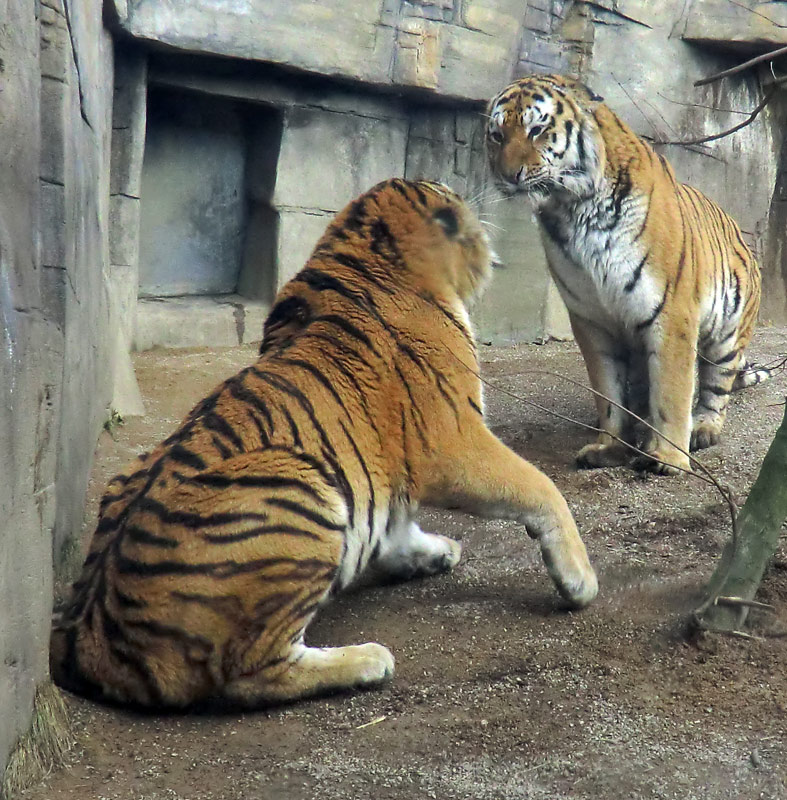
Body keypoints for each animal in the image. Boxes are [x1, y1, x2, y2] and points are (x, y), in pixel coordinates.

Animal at [49, 178, 596, 708]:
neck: (360, 257)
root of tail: (86, 634)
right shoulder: (453, 440)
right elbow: (542, 486)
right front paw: (578, 579)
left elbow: (398, 521)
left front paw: (434, 551)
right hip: (300, 485)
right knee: (249, 674)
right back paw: (367, 661)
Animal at [486, 73, 768, 476]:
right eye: (497, 135)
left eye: (537, 129)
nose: (508, 177)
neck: (571, 209)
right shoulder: (591, 319)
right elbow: (609, 392)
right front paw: (610, 447)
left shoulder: (672, 313)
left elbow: (672, 390)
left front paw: (668, 458)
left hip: (727, 332)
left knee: (715, 385)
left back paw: (701, 429)